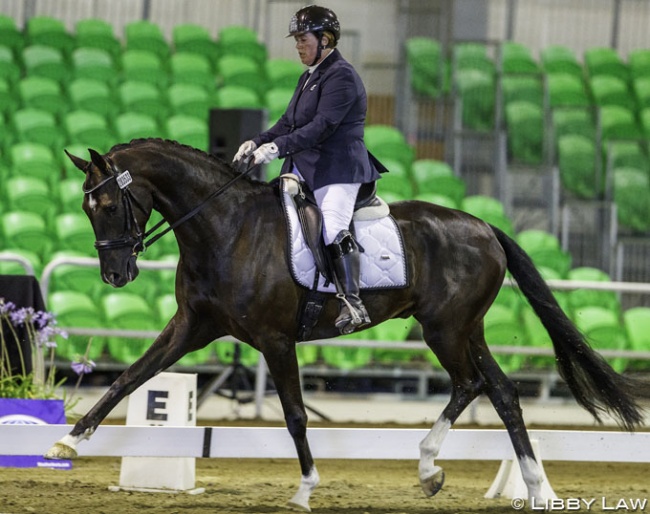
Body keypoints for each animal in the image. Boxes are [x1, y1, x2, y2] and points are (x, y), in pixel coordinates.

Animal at [44, 138, 644, 510]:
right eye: (89, 209)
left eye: (109, 205)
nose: (115, 274)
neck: (225, 227)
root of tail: (485, 228)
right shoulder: (193, 326)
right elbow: (130, 378)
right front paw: (68, 443)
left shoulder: (275, 339)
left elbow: (294, 416)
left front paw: (306, 489)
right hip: (465, 329)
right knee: (501, 392)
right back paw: (531, 489)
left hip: (444, 329)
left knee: (472, 383)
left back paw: (433, 467)